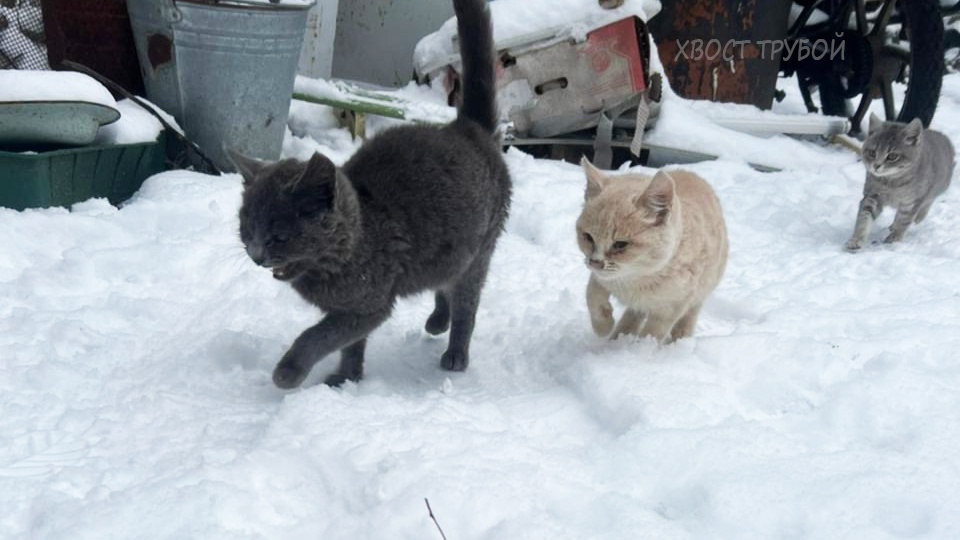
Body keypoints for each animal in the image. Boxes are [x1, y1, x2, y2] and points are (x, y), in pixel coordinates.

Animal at [228, 0, 510, 388]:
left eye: (279, 236)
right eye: (246, 231)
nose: (256, 255)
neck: (358, 238)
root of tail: (467, 128)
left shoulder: (369, 304)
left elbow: (318, 336)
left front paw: (289, 372)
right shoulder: (353, 308)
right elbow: (350, 344)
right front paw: (347, 378)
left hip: (482, 248)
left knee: (467, 300)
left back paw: (455, 353)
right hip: (450, 248)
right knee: (445, 282)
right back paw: (438, 321)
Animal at [576, 158, 728, 342]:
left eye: (620, 244)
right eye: (588, 237)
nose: (595, 263)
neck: (637, 278)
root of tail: (693, 174)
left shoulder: (674, 305)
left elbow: (653, 333)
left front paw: (640, 347)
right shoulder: (600, 279)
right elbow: (592, 296)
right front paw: (603, 326)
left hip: (705, 286)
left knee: (691, 313)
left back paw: (679, 337)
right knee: (634, 313)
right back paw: (619, 336)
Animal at [848, 114, 952, 253]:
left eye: (892, 156)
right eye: (872, 153)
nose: (876, 166)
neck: (892, 183)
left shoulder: (912, 202)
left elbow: (904, 220)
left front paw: (895, 237)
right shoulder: (872, 196)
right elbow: (864, 218)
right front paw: (856, 239)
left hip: (937, 188)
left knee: (929, 201)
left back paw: (919, 217)